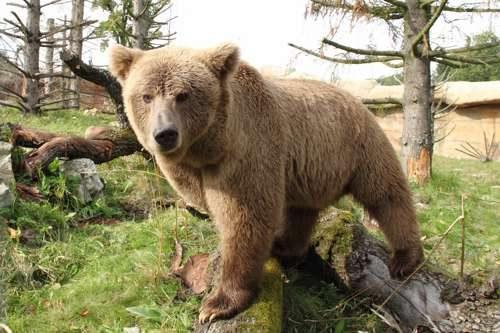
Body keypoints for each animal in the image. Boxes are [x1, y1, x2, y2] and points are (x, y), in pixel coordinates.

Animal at [108, 42, 422, 322]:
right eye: (146, 96)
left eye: (183, 95)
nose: (165, 134)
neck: (210, 148)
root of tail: (356, 99)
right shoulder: (195, 170)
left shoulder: (248, 151)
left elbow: (246, 219)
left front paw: (217, 304)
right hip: (312, 171)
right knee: (301, 211)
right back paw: (286, 248)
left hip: (360, 146)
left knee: (386, 195)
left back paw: (405, 258)